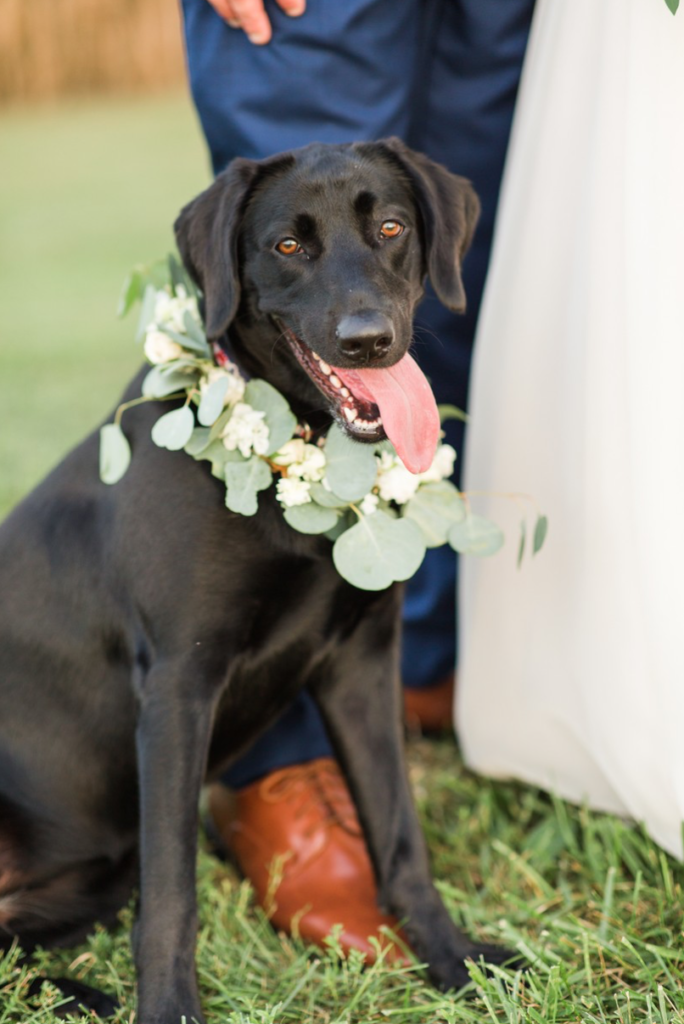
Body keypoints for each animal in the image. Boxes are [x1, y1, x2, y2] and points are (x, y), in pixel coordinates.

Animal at [1, 138, 507, 1024]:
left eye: (390, 227)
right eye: (288, 245)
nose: (368, 340)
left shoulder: (362, 663)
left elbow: (399, 831)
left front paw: (454, 960)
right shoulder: (177, 687)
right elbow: (174, 892)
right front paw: (169, 1011)